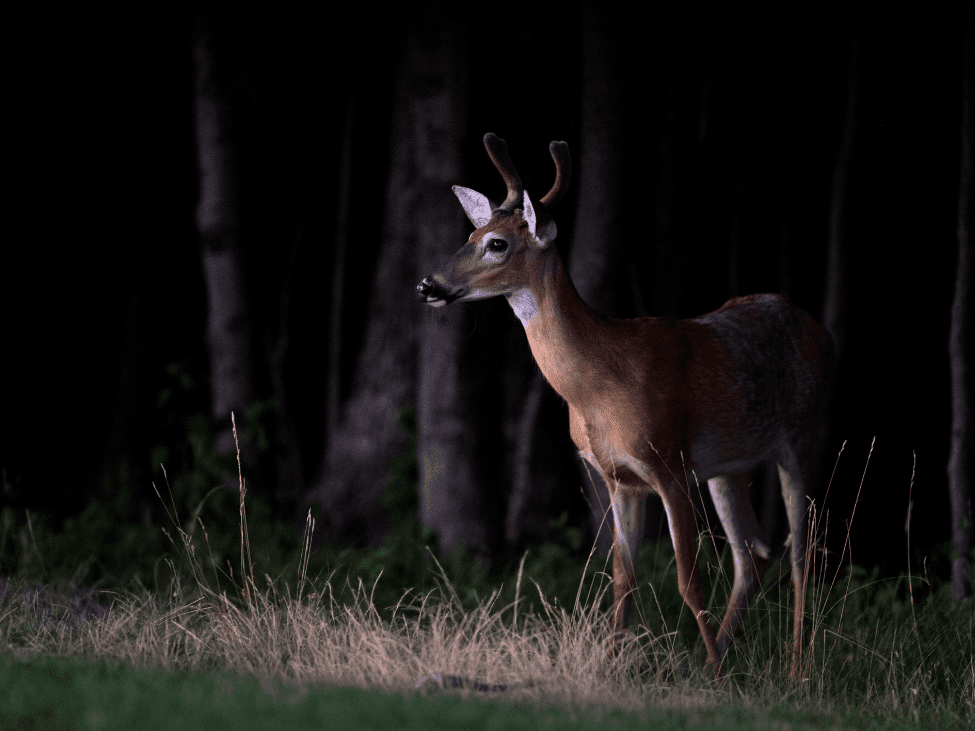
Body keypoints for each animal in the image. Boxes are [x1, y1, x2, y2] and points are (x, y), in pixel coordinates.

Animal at [416, 133, 836, 680]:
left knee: (802, 552)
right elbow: (622, 578)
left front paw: (713, 673)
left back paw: (794, 666)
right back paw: (719, 661)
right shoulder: (617, 477)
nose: (428, 285)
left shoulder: (669, 463)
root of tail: (819, 330)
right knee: (755, 554)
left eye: (497, 243)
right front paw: (615, 668)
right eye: (471, 233)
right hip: (729, 464)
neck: (597, 390)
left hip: (804, 433)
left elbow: (687, 580)